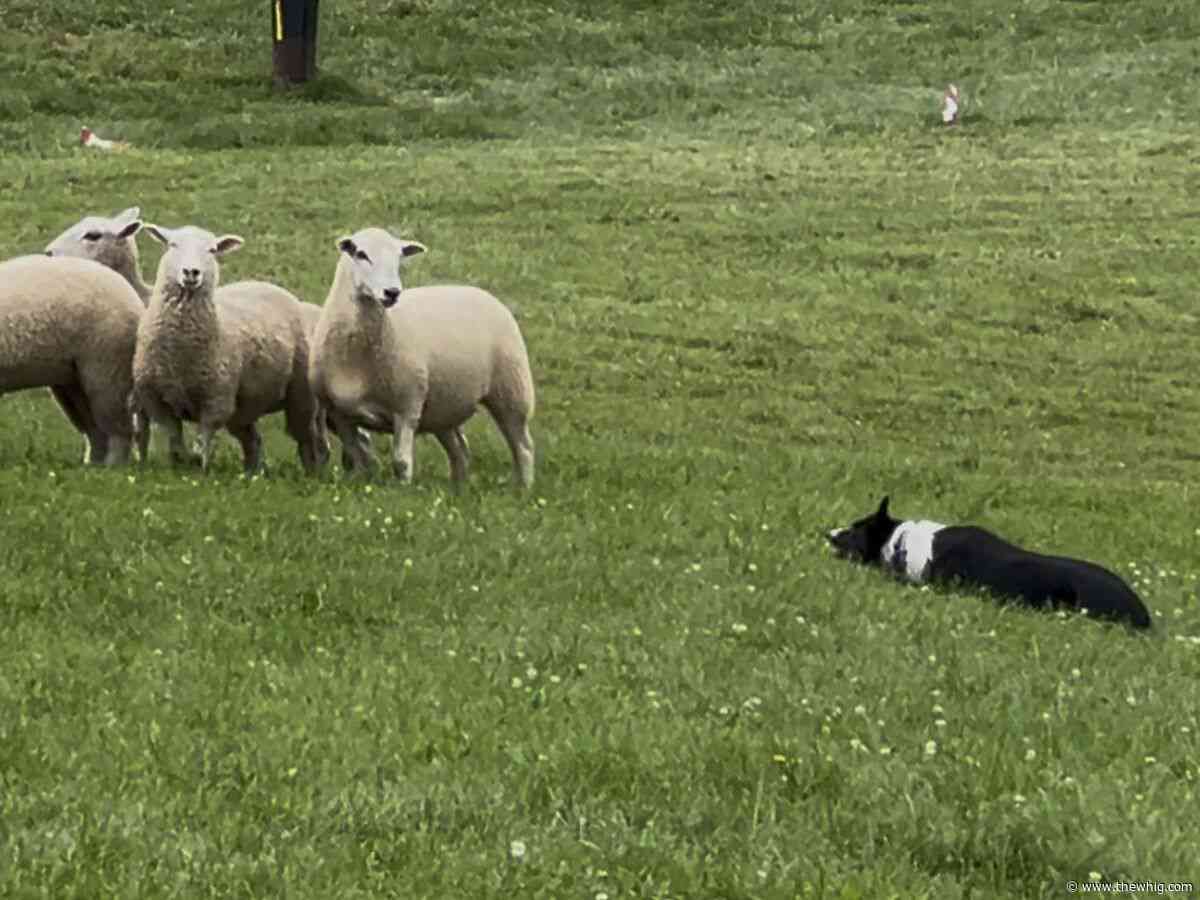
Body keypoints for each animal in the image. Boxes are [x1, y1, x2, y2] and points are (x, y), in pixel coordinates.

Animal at [0, 254, 143, 465]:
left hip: (106, 361)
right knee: (93, 427)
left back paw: (113, 464)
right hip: (73, 376)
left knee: (117, 424)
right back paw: (93, 464)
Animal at [132, 224, 324, 474]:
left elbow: (202, 444)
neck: (180, 354)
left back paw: (312, 473)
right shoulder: (156, 400)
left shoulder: (216, 400)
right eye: (172, 244)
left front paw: (200, 471)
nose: (191, 272)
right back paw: (252, 473)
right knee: (253, 440)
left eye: (212, 250)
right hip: (243, 406)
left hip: (300, 392)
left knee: (306, 439)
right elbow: (175, 443)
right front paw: (179, 468)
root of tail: (265, 284)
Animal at [309, 227, 535, 487]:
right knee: (460, 450)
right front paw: (359, 483)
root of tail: (479, 291)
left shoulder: (407, 407)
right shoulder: (340, 414)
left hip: (512, 389)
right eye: (361, 254)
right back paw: (459, 488)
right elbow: (356, 457)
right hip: (444, 406)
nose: (392, 292)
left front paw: (403, 491)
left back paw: (523, 488)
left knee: (523, 446)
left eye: (399, 257)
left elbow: (401, 462)